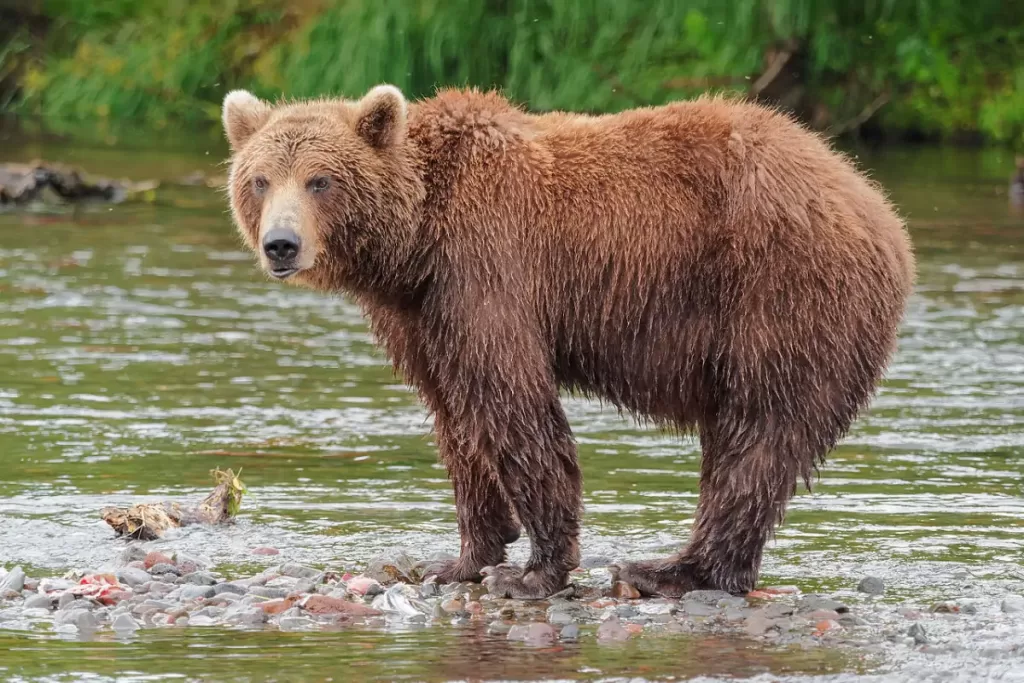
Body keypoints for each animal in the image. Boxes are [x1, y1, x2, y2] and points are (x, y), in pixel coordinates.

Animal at [220, 83, 917, 598]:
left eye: (320, 180)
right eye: (260, 179)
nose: (281, 244)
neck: (415, 243)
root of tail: (878, 206)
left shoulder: (487, 269)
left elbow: (512, 405)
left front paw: (533, 571)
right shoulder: (421, 316)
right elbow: (455, 418)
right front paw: (461, 557)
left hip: (781, 294)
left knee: (758, 435)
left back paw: (669, 569)